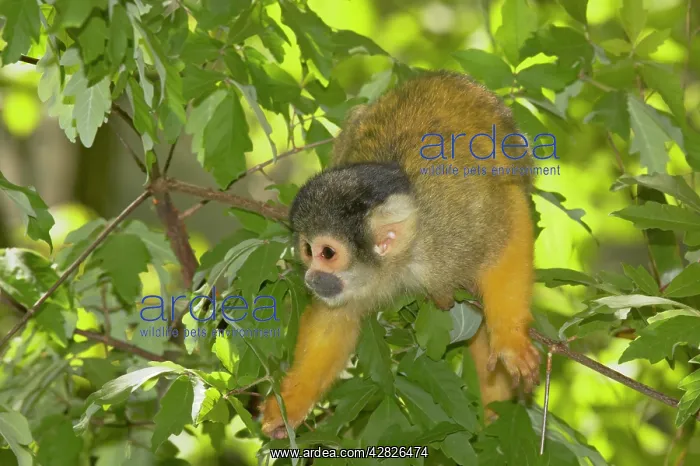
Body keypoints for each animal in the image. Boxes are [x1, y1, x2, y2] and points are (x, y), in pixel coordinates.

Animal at [261, 70, 541, 439]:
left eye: (328, 253)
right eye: (308, 251)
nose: (311, 276)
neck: (404, 258)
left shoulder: (453, 227)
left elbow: (508, 220)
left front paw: (509, 339)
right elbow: (335, 319)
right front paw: (289, 404)